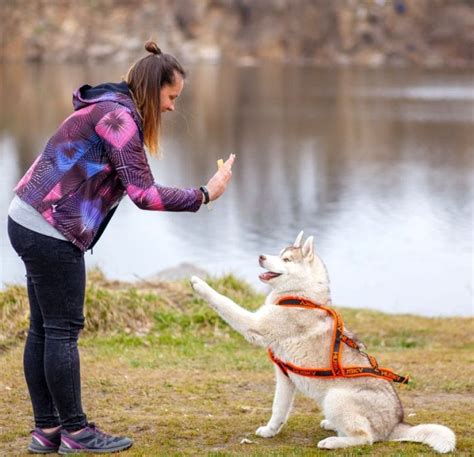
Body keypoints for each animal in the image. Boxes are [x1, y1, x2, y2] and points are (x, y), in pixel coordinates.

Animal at [191, 232, 458, 452]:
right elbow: (278, 409)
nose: (261, 256)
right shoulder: (284, 377)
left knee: (366, 438)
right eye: (279, 253)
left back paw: (333, 441)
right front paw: (270, 431)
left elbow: (224, 302)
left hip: (336, 397)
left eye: (286, 259)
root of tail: (396, 425)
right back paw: (332, 426)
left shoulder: (254, 324)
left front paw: (200, 285)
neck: (301, 297)